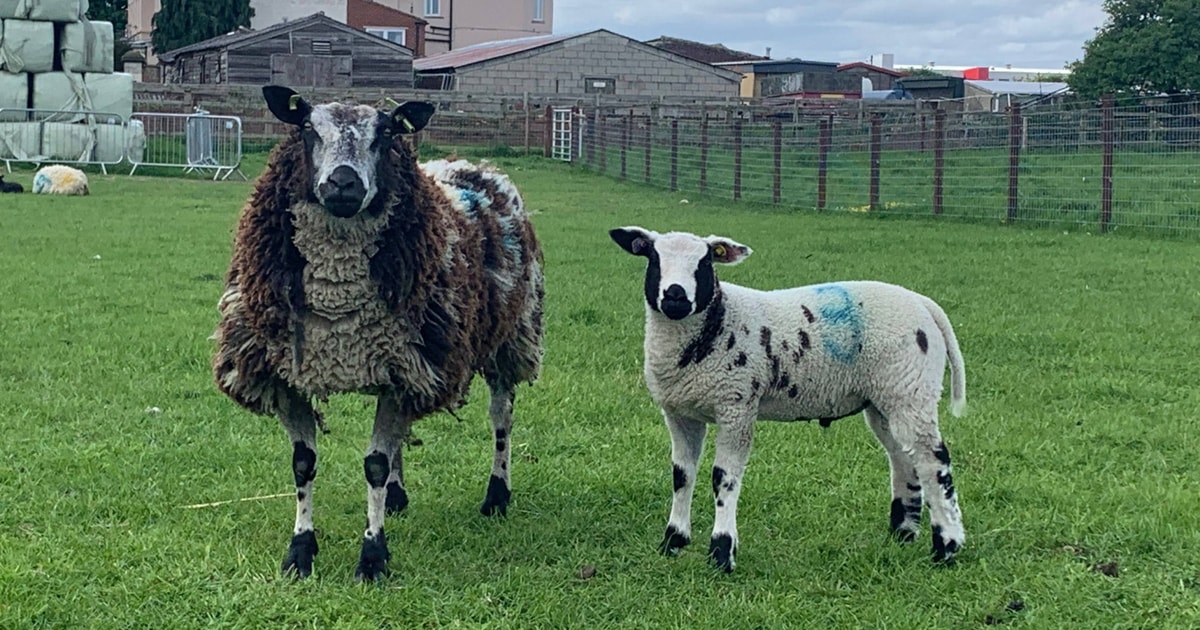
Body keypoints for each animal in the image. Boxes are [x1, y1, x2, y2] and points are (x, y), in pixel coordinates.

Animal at [211, 85, 545, 582]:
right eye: (307, 127)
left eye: (385, 133)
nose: (343, 184)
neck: (336, 304)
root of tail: (472, 164)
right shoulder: (289, 374)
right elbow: (304, 464)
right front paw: (300, 551)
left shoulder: (406, 369)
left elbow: (373, 464)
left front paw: (372, 557)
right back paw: (399, 496)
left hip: (509, 335)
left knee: (501, 419)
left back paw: (496, 495)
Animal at [609, 226, 967, 572]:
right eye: (653, 259)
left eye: (705, 262)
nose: (675, 296)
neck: (717, 323)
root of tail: (923, 304)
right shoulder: (680, 413)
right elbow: (682, 475)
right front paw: (673, 541)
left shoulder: (737, 405)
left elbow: (723, 479)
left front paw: (722, 553)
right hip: (886, 399)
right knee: (904, 459)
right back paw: (903, 534)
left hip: (911, 390)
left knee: (933, 461)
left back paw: (947, 548)